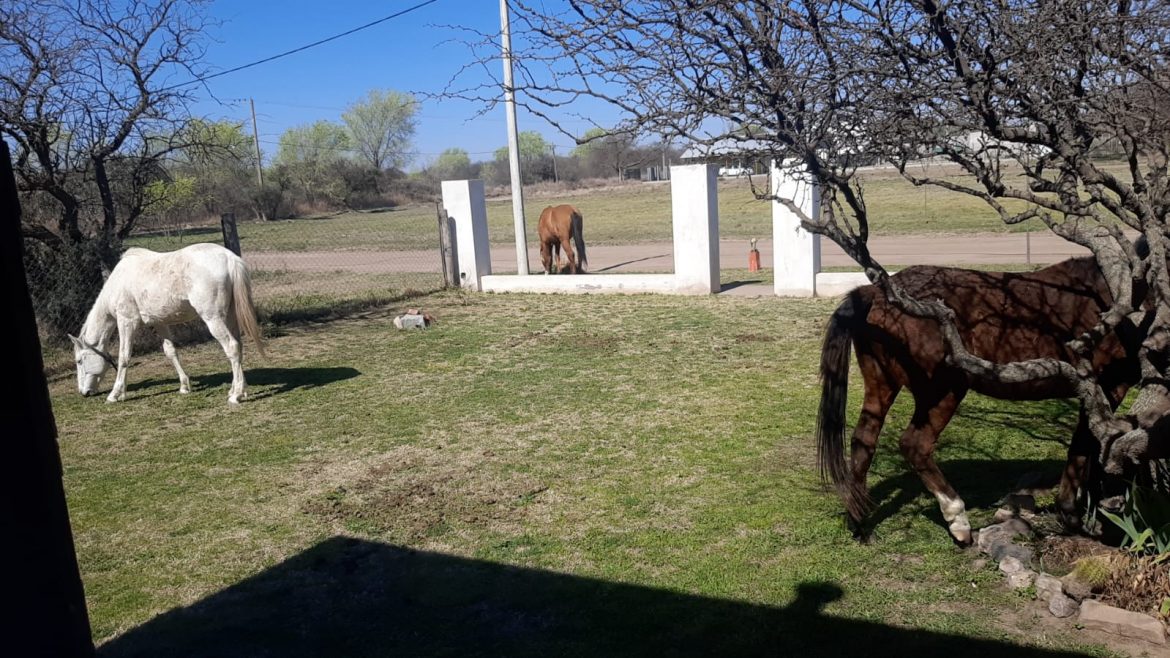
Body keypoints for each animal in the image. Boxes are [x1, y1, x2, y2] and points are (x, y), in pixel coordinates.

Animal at [69, 243, 265, 404]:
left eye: (79, 361)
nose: (84, 392)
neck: (118, 283)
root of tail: (229, 258)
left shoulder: (126, 321)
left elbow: (124, 356)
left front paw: (115, 394)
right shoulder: (159, 322)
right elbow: (170, 352)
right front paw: (184, 386)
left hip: (213, 318)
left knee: (232, 347)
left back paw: (236, 396)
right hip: (229, 316)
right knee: (238, 346)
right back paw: (239, 389)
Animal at [816, 256, 1142, 545]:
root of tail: (875, 293)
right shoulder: (1104, 387)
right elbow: (1086, 446)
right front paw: (1074, 514)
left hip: (882, 386)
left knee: (863, 442)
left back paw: (860, 523)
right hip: (943, 391)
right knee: (915, 445)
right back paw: (957, 520)